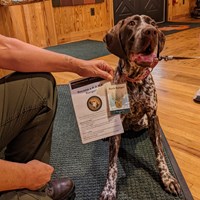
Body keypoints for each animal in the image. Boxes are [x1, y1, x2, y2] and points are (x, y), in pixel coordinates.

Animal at [100, 14, 181, 199]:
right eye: (131, 23)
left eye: (152, 23)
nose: (150, 31)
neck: (135, 79)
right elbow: (112, 164)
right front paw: (109, 188)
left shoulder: (152, 116)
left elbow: (160, 154)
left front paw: (167, 178)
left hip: (143, 122)